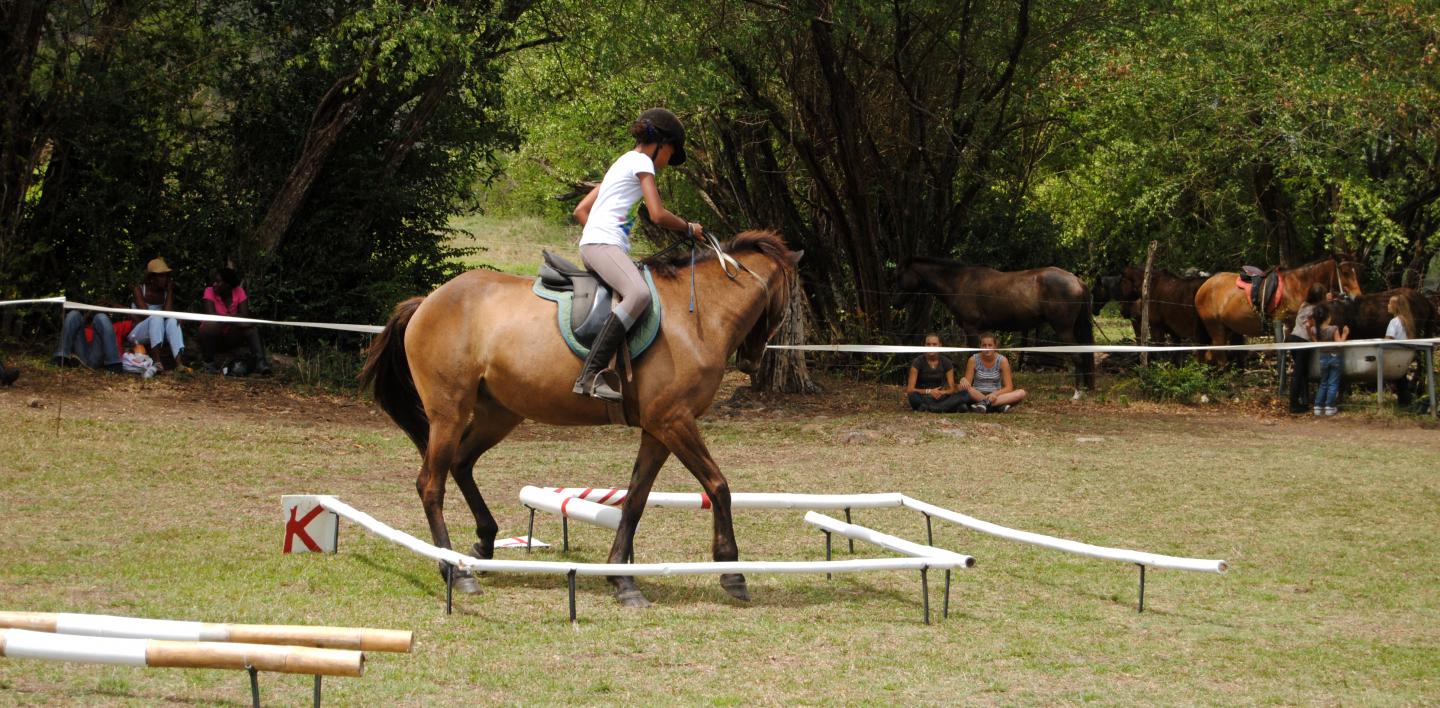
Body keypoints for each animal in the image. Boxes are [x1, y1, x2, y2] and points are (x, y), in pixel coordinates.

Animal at [360, 231, 806, 607]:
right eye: (791, 300)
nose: (751, 361)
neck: (696, 315)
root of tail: (426, 301)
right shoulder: (674, 421)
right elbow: (718, 486)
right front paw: (732, 573)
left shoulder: (658, 430)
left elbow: (635, 500)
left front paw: (622, 580)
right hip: (448, 413)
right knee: (431, 484)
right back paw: (455, 572)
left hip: (498, 414)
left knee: (460, 463)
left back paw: (482, 546)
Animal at [892, 259, 1094, 391]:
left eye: (900, 276)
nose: (896, 303)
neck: (959, 282)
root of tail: (1076, 280)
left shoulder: (972, 329)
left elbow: (971, 356)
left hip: (1063, 329)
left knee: (1078, 357)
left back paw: (1077, 393)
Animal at [1192, 254, 1359, 365]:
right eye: (1345, 272)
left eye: (1354, 271)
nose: (1357, 295)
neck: (1296, 286)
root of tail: (1203, 286)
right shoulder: (1285, 324)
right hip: (1216, 327)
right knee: (1219, 354)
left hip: (1229, 328)